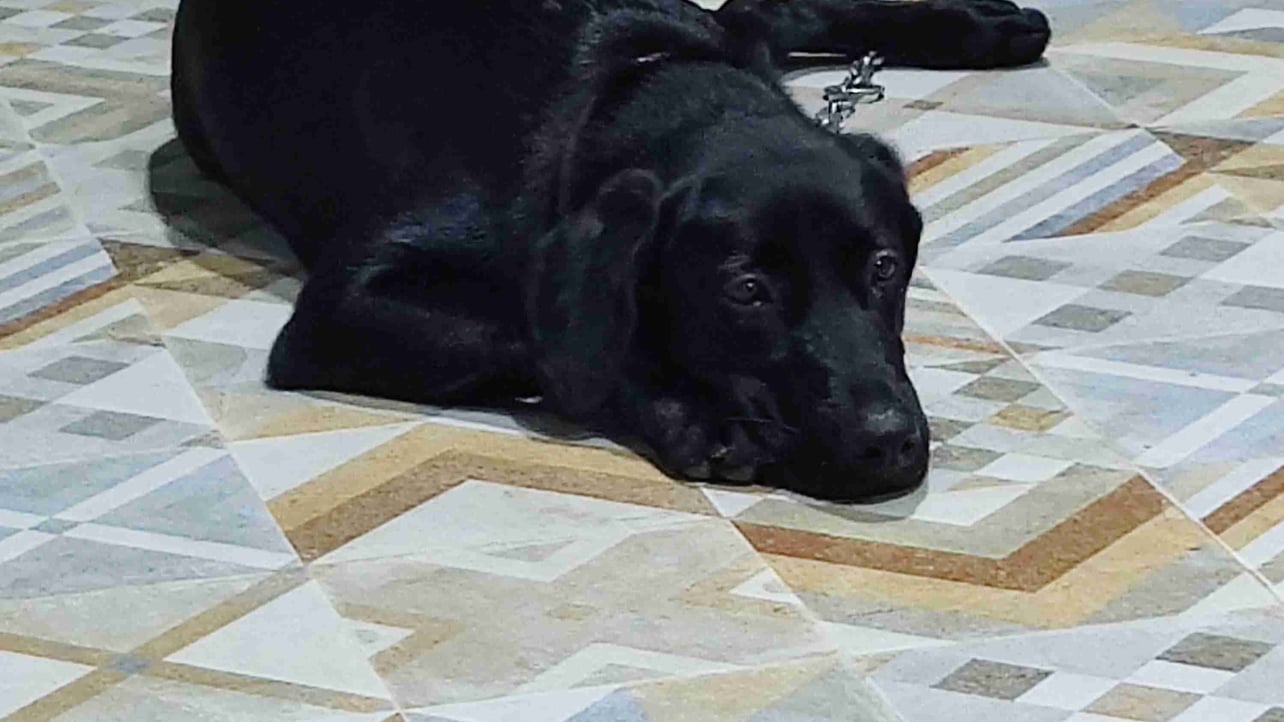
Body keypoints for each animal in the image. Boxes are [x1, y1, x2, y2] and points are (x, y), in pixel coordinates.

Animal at [170, 0, 1050, 500]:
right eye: (746, 291)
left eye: (883, 268)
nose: (888, 442)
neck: (631, 82)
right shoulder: (339, 309)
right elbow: (545, 337)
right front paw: (692, 412)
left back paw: (988, 25)